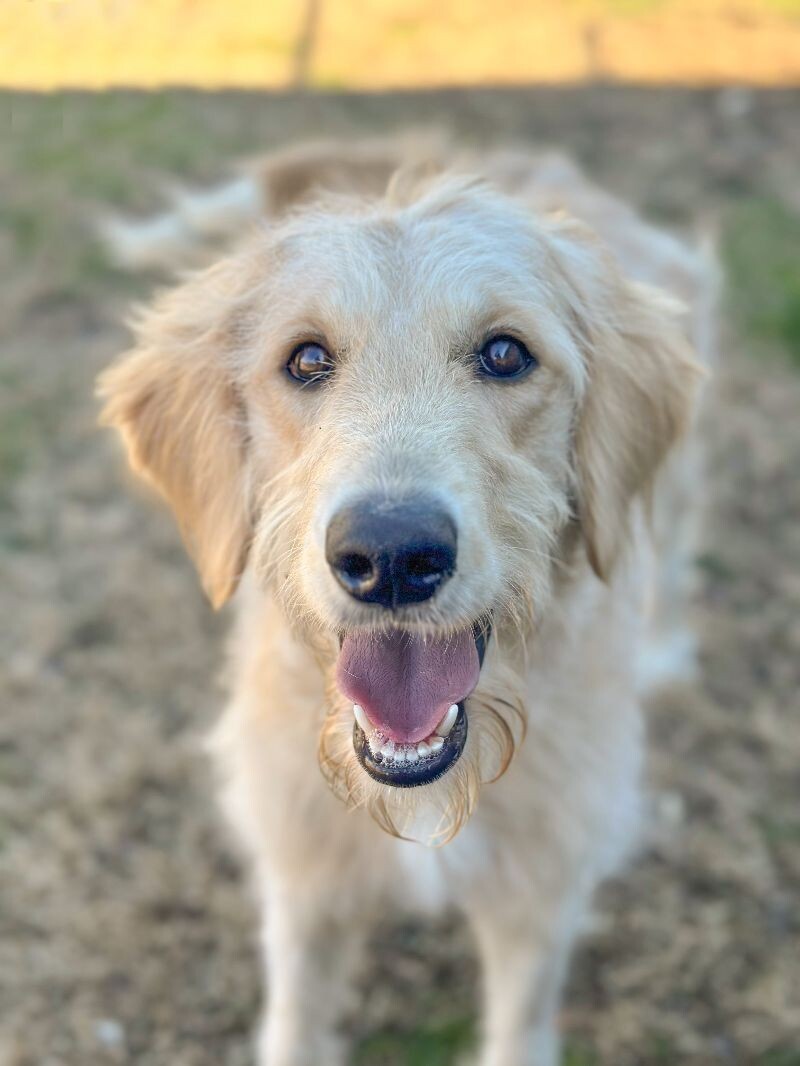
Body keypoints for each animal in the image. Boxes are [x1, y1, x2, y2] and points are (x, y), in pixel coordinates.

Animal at [98, 141, 712, 1066]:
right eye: (306, 360)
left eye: (506, 354)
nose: (390, 556)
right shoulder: (304, 883)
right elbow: (296, 1024)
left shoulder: (541, 895)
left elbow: (520, 1025)